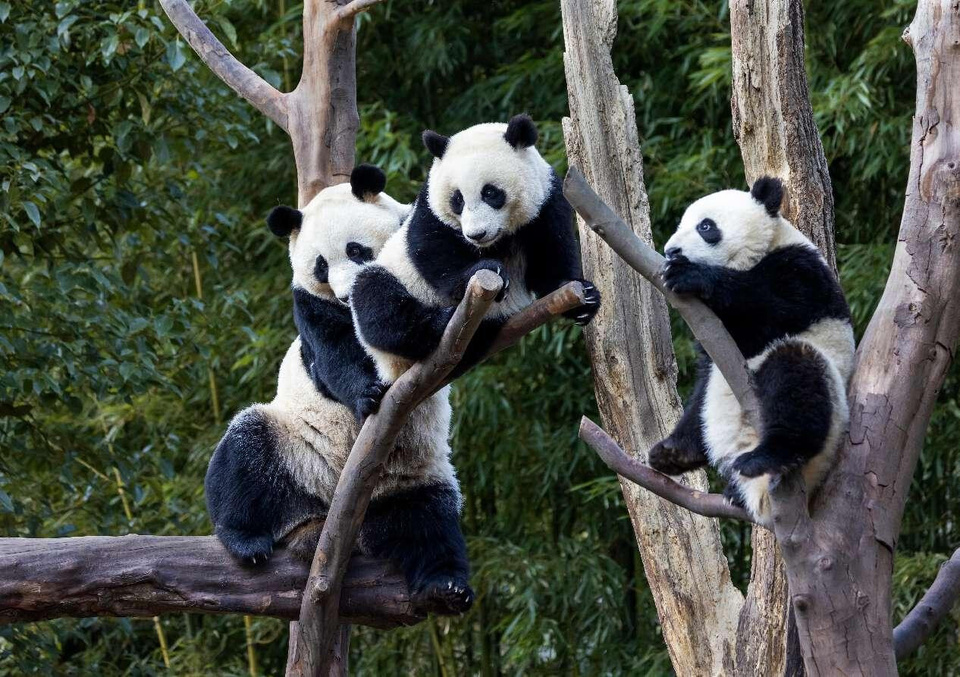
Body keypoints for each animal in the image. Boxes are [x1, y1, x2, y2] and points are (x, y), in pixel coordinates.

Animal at [205, 165, 474, 613]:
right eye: (320, 266)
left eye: (356, 250)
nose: (347, 295)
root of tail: (322, 519)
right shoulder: (309, 308)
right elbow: (332, 358)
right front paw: (368, 393)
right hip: (292, 448)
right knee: (246, 455)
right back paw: (245, 539)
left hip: (409, 478)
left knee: (429, 521)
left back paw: (446, 587)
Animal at [349, 114, 601, 385]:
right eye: (457, 199)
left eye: (490, 192)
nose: (476, 234)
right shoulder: (431, 207)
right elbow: (431, 249)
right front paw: (487, 269)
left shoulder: (546, 202)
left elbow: (550, 260)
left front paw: (584, 298)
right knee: (375, 299)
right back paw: (439, 322)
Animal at [647, 177, 855, 525]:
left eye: (706, 226)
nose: (671, 251)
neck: (763, 249)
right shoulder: (713, 347)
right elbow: (703, 376)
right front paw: (670, 451)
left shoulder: (804, 271)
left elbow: (771, 309)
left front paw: (690, 275)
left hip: (832, 406)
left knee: (797, 379)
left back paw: (767, 457)